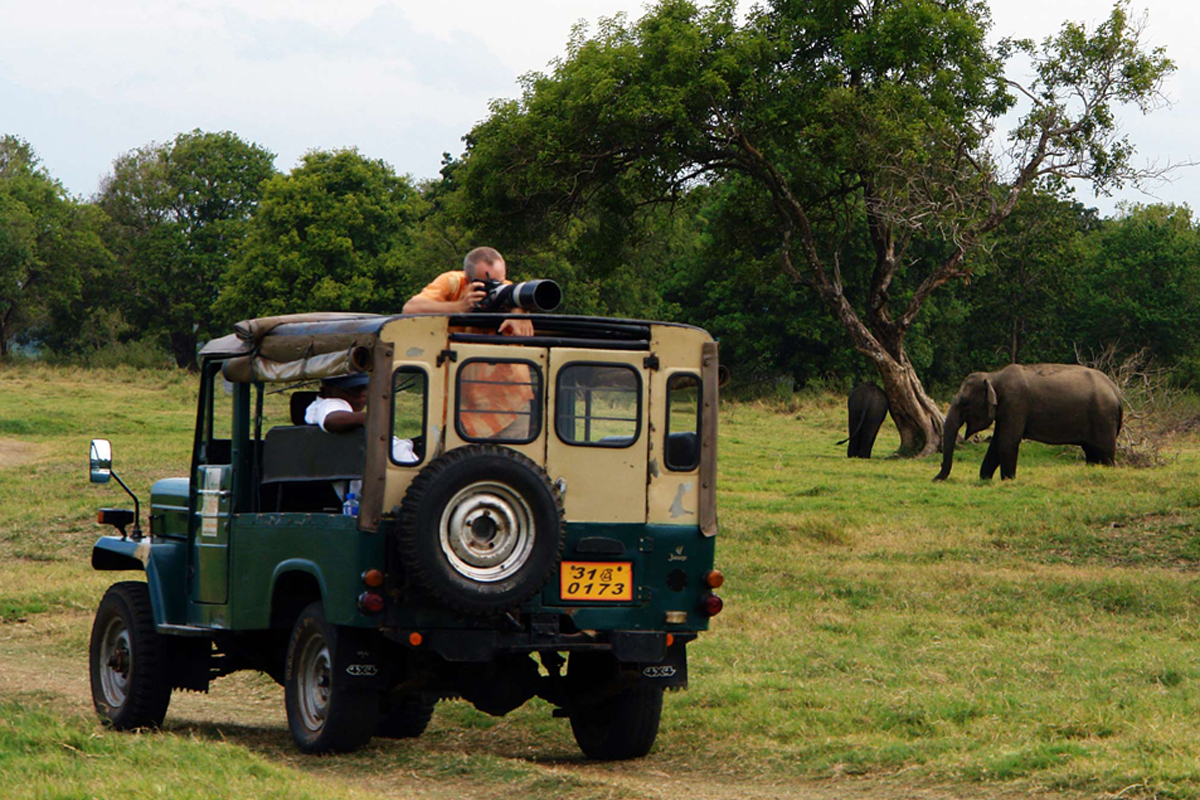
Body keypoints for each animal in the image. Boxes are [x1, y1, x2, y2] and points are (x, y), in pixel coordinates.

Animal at [931, 362, 1118, 482]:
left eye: (964, 403)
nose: (935, 479)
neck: (994, 376)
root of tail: (1116, 391)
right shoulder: (1005, 409)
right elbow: (996, 442)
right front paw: (985, 479)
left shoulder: (1015, 403)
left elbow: (1007, 441)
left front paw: (1008, 480)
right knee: (1091, 451)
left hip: (1104, 419)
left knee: (1104, 452)